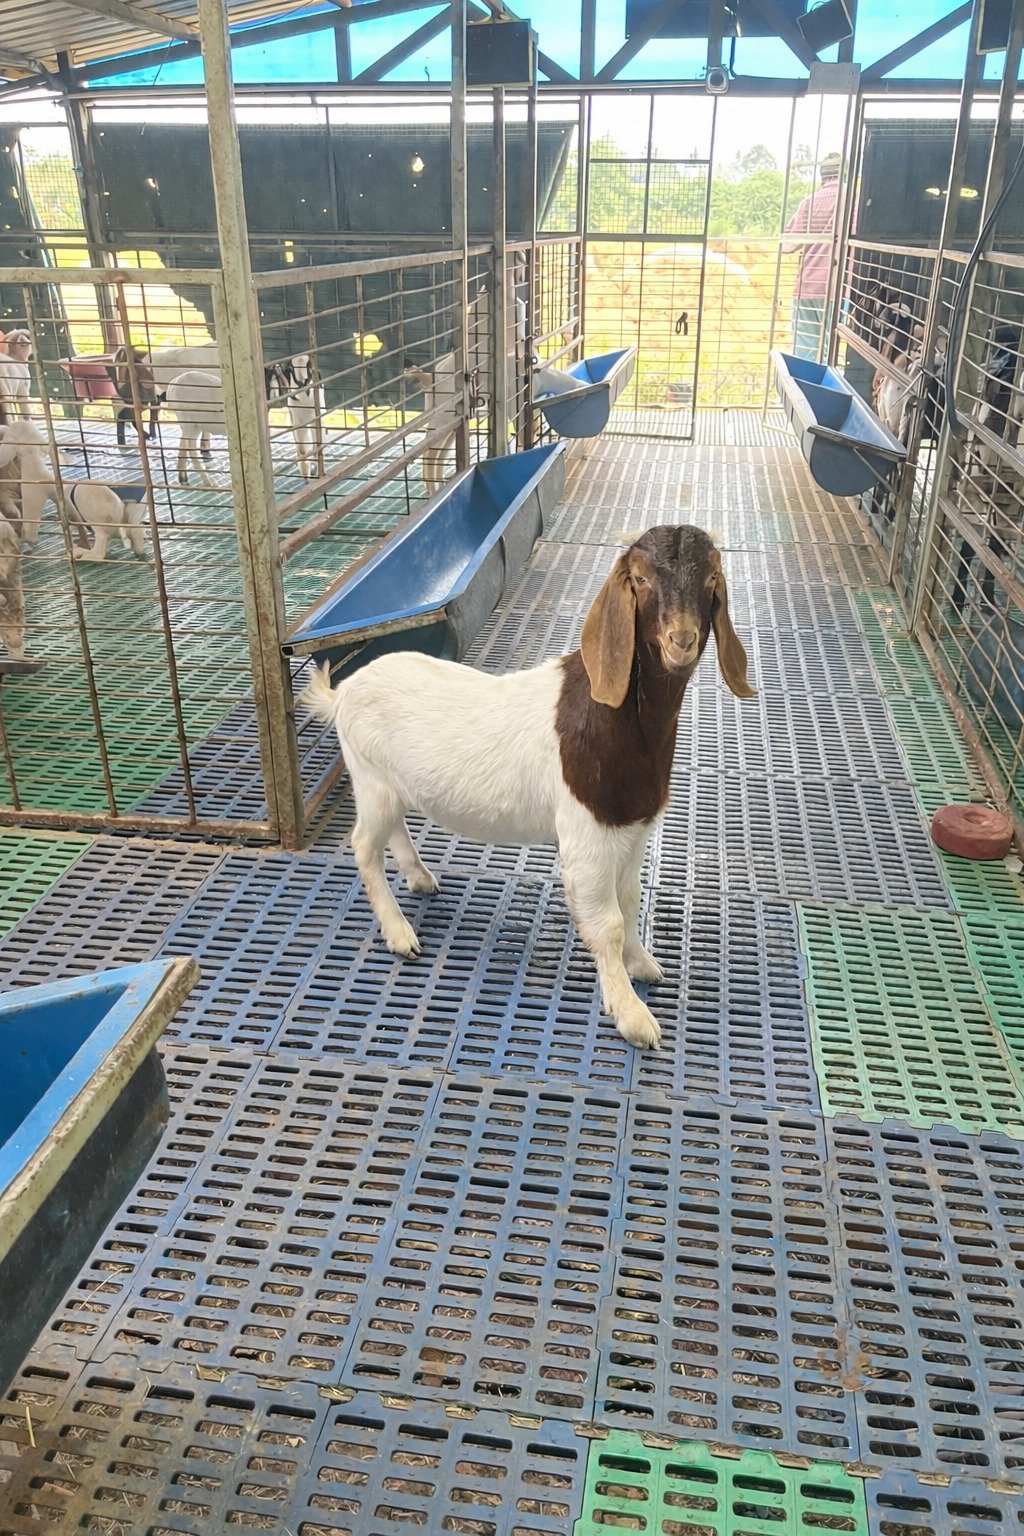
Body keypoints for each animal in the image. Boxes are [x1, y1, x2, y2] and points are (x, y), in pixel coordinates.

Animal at [301, 526, 755, 1050]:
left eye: (712, 579)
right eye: (639, 579)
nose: (681, 640)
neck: (621, 721)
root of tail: (343, 692)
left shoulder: (632, 829)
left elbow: (630, 899)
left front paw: (643, 965)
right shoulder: (587, 836)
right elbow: (608, 923)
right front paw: (632, 1016)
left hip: (392, 786)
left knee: (393, 831)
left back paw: (420, 878)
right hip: (370, 777)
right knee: (363, 845)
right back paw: (400, 934)